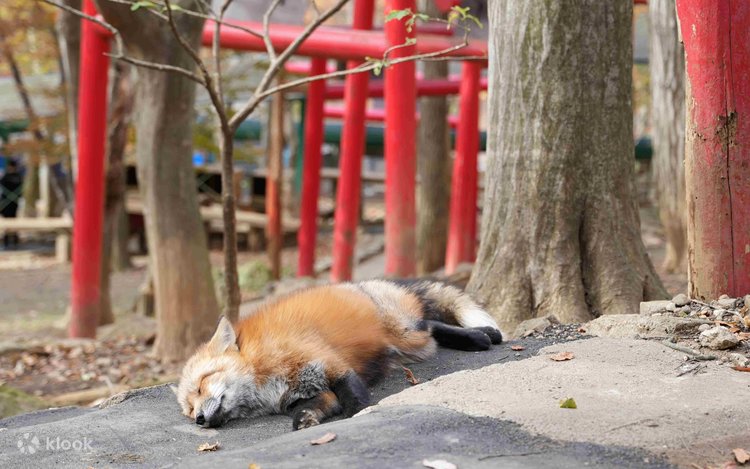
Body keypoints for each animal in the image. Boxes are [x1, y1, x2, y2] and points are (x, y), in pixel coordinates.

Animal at [176, 279, 503, 430]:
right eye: (189, 409)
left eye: (201, 385)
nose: (199, 420)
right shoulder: (303, 392)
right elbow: (315, 406)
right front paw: (306, 420)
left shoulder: (329, 363)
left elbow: (353, 397)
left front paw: (358, 415)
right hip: (405, 348)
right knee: (432, 329)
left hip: (406, 336)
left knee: (432, 325)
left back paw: (482, 336)